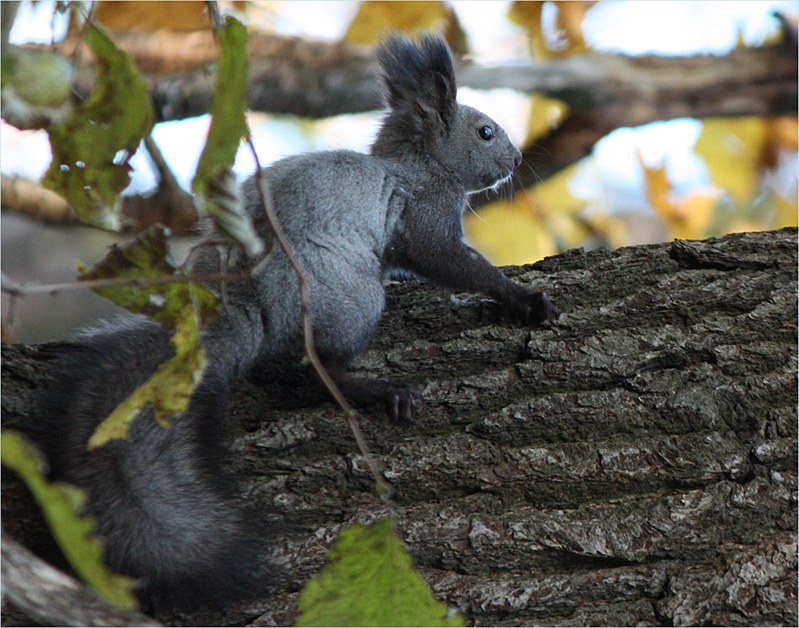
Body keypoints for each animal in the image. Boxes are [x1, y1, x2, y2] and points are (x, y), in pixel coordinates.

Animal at [31, 31, 560, 612]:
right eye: (485, 131)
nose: (517, 157)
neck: (414, 168)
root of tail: (247, 307)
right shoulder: (423, 216)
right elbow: (453, 263)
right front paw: (522, 298)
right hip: (350, 299)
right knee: (309, 371)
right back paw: (379, 391)